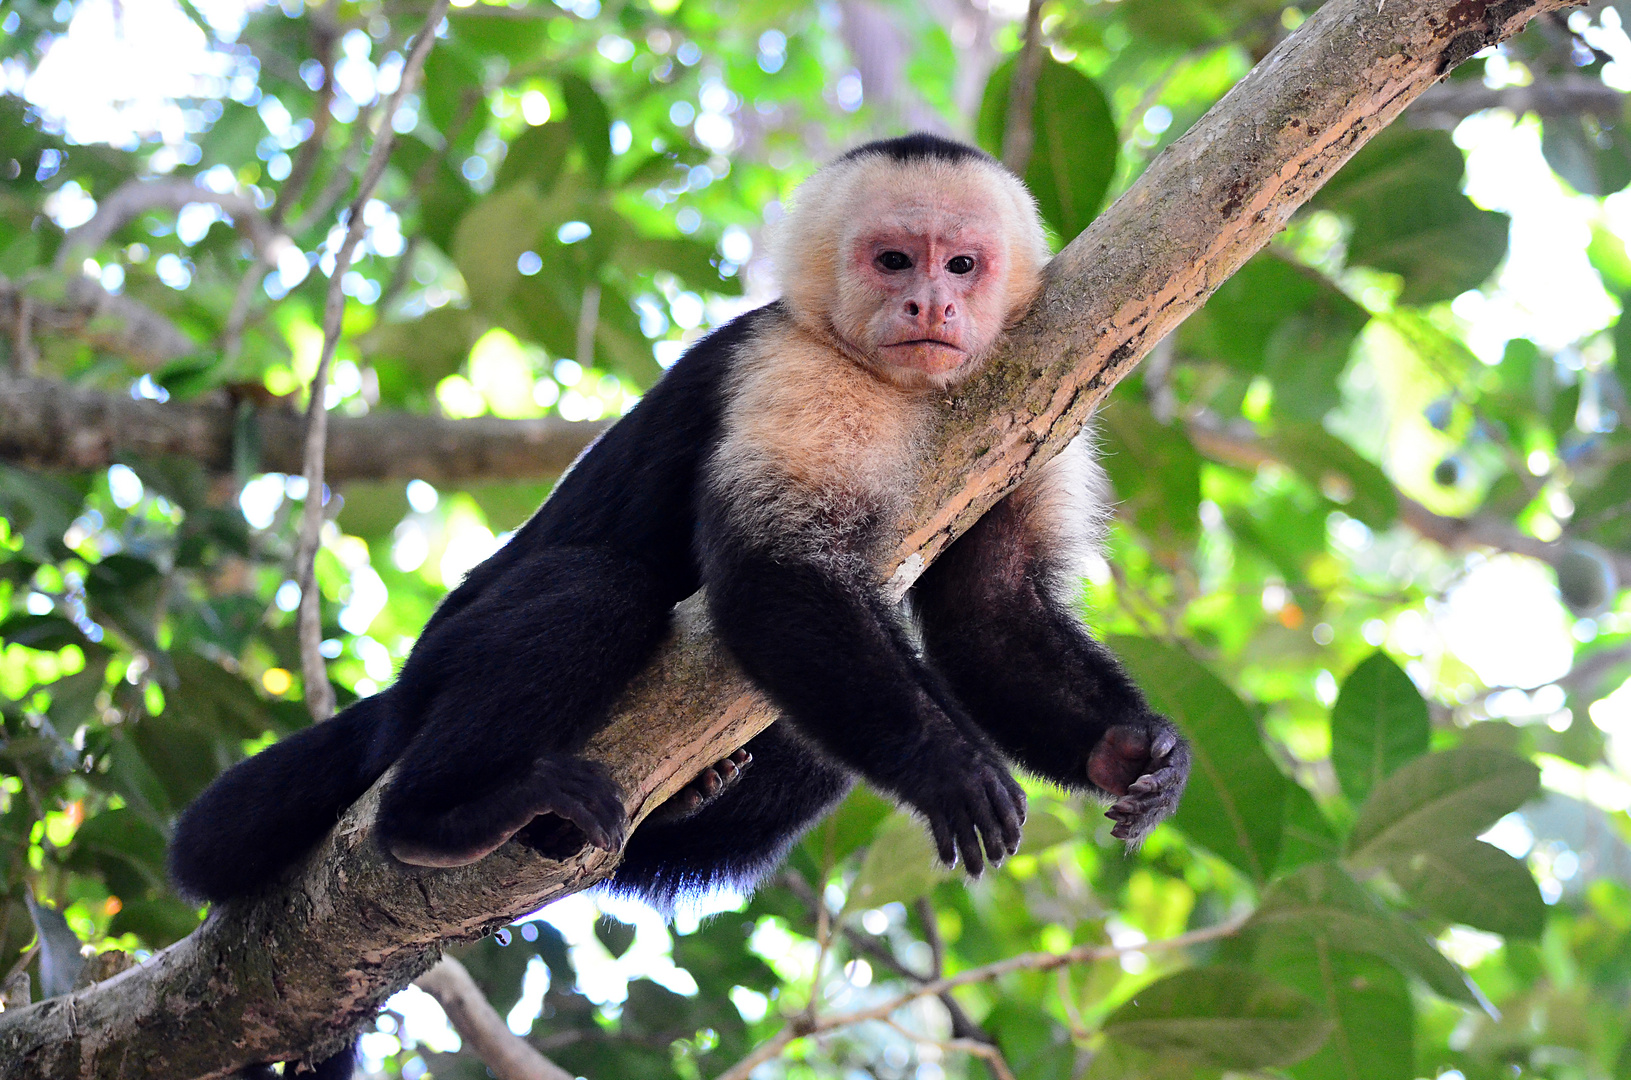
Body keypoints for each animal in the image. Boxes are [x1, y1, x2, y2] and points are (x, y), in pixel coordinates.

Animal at [172, 132, 1187, 920]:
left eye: (963, 265)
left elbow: (990, 611)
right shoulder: (794, 371)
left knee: (806, 753)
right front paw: (944, 765)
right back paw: (439, 820)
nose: (930, 304)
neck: (900, 387)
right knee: (593, 592)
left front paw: (1127, 751)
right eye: (894, 259)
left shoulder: (1030, 400)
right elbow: (773, 574)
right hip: (432, 680)